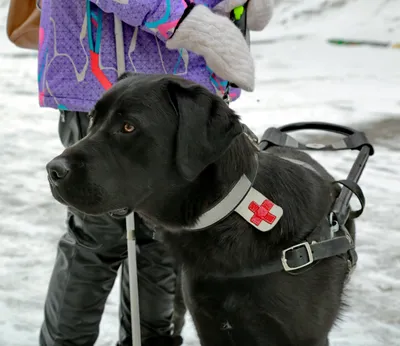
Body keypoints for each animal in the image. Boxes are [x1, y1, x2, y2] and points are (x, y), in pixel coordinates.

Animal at [47, 74, 356, 346]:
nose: (53, 170)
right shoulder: (209, 324)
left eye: (128, 127)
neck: (232, 217)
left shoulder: (303, 336)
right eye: (91, 119)